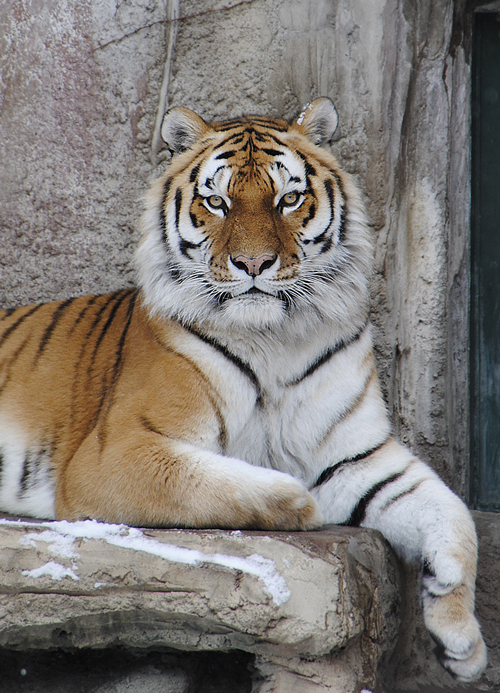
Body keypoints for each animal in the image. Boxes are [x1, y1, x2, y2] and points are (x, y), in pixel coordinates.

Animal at [0, 98, 484, 680]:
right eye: (217, 201)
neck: (272, 339)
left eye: (289, 199)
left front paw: (462, 640)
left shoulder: (359, 456)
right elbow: (206, 479)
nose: (254, 264)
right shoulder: (113, 452)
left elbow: (453, 515)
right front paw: (301, 501)